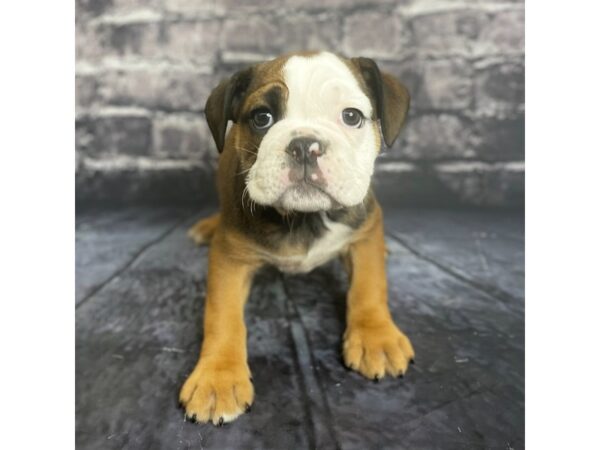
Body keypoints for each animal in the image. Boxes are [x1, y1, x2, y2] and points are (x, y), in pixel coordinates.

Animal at [178, 50, 412, 426]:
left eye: (351, 116)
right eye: (262, 118)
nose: (305, 145)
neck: (304, 218)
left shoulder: (364, 231)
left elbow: (369, 286)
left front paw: (377, 338)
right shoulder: (230, 257)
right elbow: (222, 315)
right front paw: (217, 378)